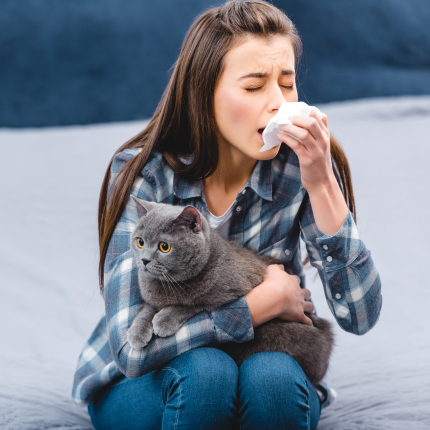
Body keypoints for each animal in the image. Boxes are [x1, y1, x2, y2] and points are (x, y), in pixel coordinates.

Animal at [126, 197, 334, 384]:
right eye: (140, 242)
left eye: (164, 247)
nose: (144, 260)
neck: (166, 285)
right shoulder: (152, 299)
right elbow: (146, 309)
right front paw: (136, 333)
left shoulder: (236, 288)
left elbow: (195, 304)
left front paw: (164, 319)